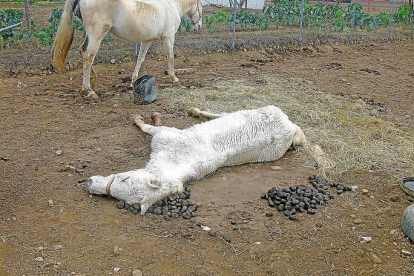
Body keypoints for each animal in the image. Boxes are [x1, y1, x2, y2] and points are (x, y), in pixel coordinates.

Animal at [51, 0, 203, 99]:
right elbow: (170, 57)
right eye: (201, 6)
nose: (198, 27)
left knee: (83, 51)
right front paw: (174, 78)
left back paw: (92, 83)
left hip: (90, 35)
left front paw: (132, 81)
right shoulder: (169, 37)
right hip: (97, 35)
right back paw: (88, 91)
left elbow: (140, 59)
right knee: (89, 56)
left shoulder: (147, 40)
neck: (171, 6)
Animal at [88, 105, 334, 213]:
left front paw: (140, 118)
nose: (90, 183)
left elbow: (148, 127)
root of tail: (293, 128)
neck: (172, 164)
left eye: (125, 179)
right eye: (118, 197)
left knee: (222, 113)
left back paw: (195, 110)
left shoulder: (165, 135)